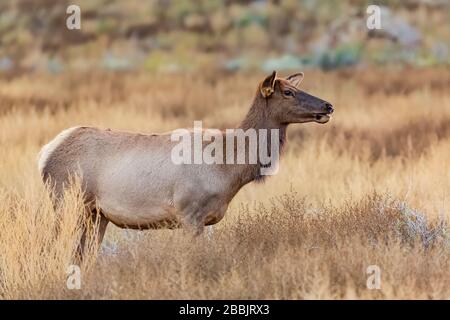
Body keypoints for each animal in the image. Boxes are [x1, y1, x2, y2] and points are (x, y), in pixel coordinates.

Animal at [38, 71, 332, 256]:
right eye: (288, 92)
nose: (328, 106)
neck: (228, 169)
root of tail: (45, 154)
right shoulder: (189, 213)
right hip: (67, 202)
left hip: (97, 215)